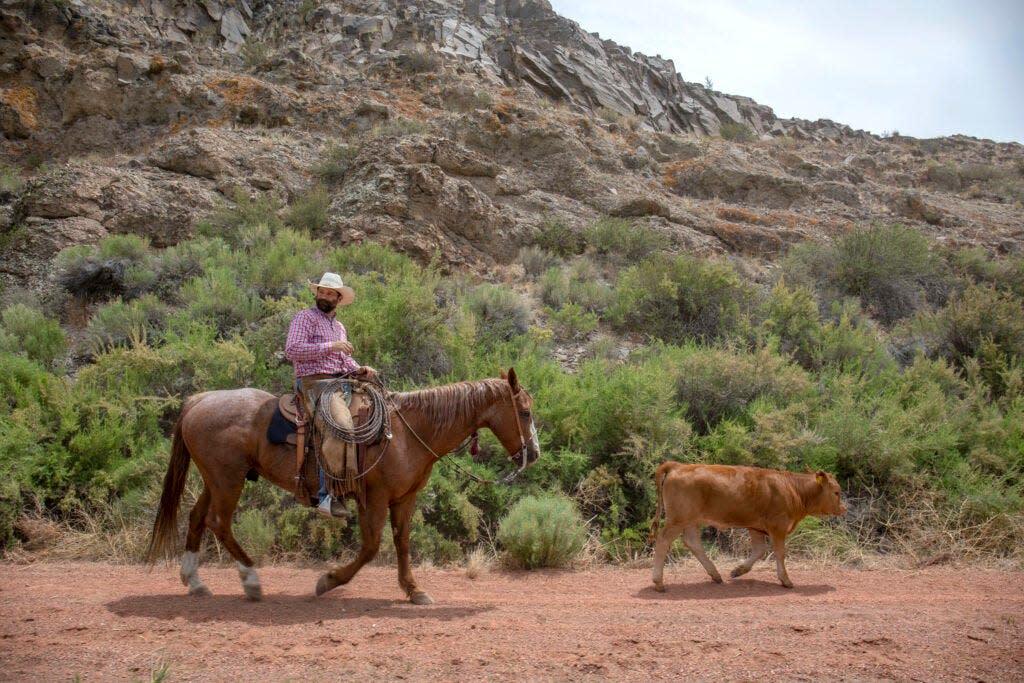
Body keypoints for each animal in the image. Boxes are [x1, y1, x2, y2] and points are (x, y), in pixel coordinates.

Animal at [149, 368, 544, 602]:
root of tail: (198, 400)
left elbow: (402, 543)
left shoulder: (405, 498)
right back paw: (251, 581)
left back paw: (195, 581)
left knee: (197, 517)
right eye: (524, 411)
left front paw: (414, 590)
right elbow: (370, 547)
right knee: (219, 522)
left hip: (215, 480)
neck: (408, 433)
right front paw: (328, 581)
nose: (535, 454)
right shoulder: (376, 498)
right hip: (227, 480)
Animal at [651, 462, 843, 589]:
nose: (844, 508)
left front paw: (738, 571)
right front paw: (786, 580)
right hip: (678, 520)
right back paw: (658, 582)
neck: (792, 488)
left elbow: (760, 550)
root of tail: (677, 465)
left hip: (691, 521)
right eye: (836, 492)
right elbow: (780, 553)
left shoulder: (756, 527)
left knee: (692, 542)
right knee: (663, 541)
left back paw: (716, 575)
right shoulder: (778, 527)